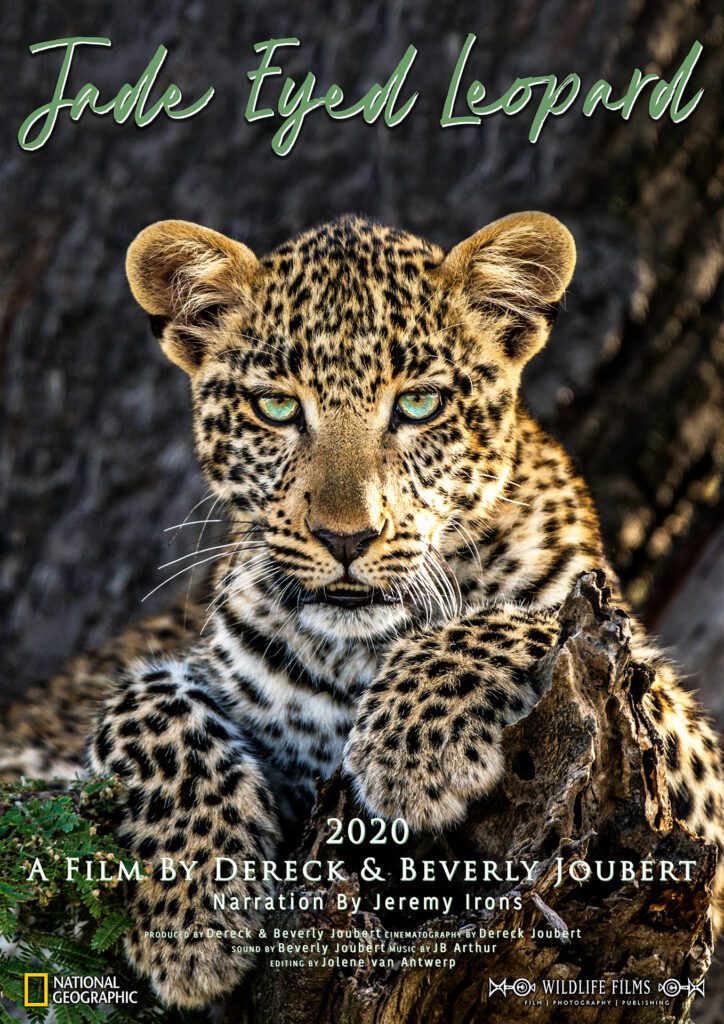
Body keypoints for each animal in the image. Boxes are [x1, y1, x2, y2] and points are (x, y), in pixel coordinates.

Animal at [1, 212, 721, 1008]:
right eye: (277, 406)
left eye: (419, 404)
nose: (347, 537)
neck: (356, 653)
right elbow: (145, 702)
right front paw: (189, 921)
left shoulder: (689, 782)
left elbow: (524, 615)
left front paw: (409, 751)